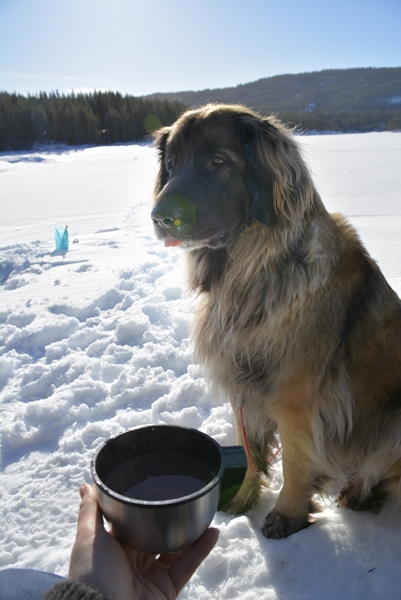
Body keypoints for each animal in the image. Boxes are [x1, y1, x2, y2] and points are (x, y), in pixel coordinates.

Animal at [150, 102, 400, 540]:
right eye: (172, 164)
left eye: (218, 162)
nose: (160, 217)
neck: (250, 272)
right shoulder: (242, 387)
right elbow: (249, 448)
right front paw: (242, 500)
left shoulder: (296, 398)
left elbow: (297, 461)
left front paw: (287, 514)